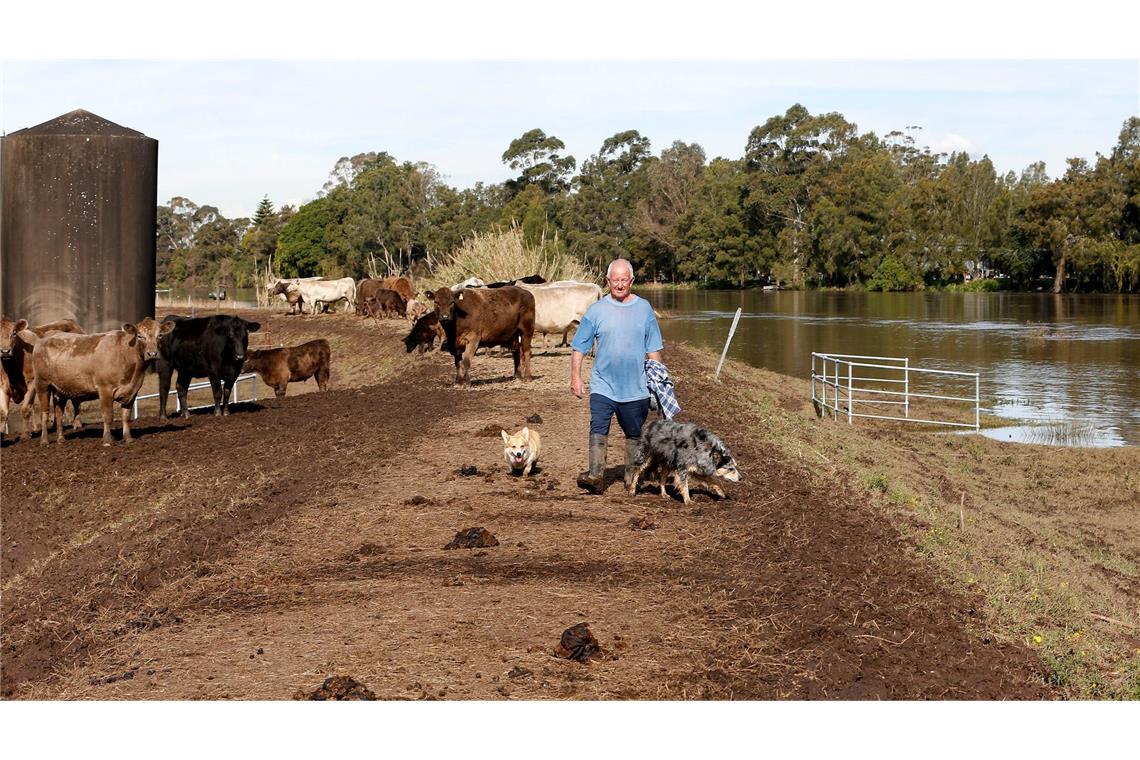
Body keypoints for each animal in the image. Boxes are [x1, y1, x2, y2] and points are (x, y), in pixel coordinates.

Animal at [23, 316, 173, 446]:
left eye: (160, 335)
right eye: (140, 335)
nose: (152, 354)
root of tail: (45, 337)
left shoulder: (133, 391)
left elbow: (126, 416)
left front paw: (128, 438)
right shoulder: (105, 389)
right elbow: (107, 415)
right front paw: (107, 441)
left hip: (60, 389)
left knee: (59, 413)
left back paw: (61, 439)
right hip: (42, 384)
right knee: (45, 412)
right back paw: (44, 441)